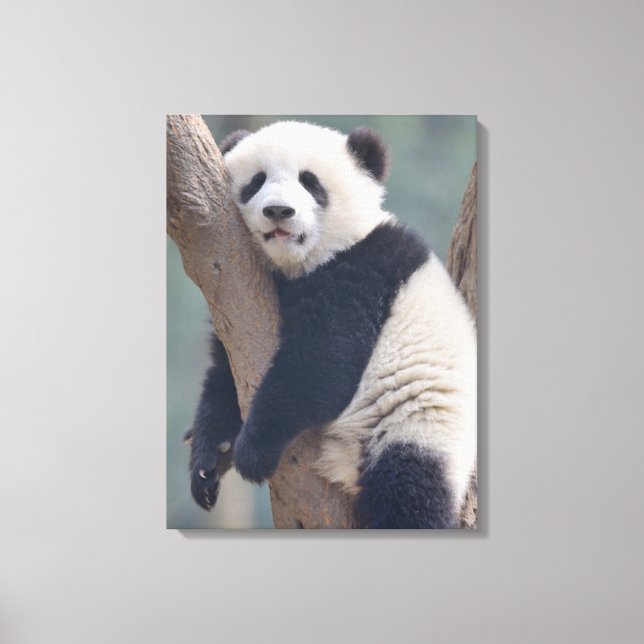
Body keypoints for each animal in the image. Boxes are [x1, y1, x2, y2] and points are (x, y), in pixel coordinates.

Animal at [186, 120, 477, 529]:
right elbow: (225, 372)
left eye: (310, 182)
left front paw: (252, 451)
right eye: (257, 181)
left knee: (409, 494)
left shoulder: (364, 272)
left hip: (418, 427)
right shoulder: (236, 300)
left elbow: (321, 365)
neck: (302, 263)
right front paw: (208, 461)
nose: (279, 211)